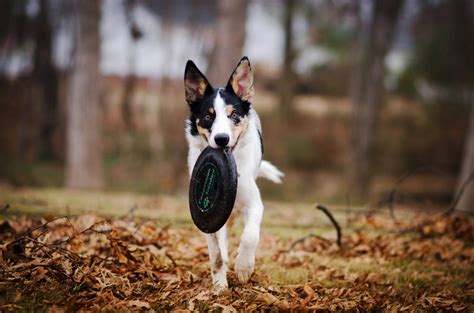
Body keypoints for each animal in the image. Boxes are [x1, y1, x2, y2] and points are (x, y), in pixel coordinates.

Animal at [183, 56, 284, 292]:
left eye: (234, 115)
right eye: (208, 116)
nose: (221, 139)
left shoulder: (253, 203)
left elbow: (250, 236)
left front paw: (244, 268)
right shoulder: (208, 220)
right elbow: (217, 254)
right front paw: (220, 285)